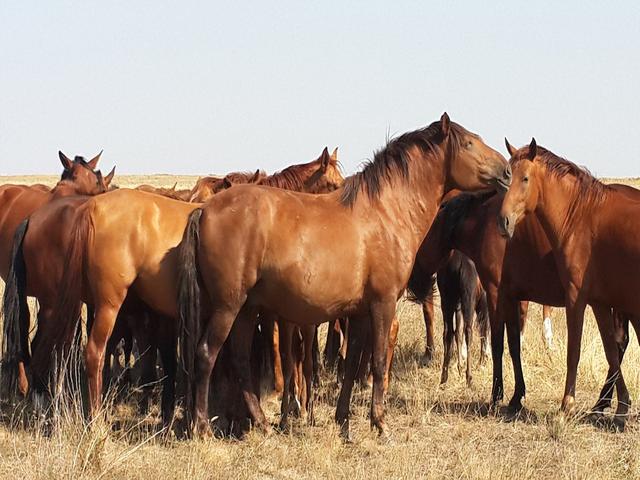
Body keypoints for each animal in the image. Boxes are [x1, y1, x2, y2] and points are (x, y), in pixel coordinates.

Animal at [176, 113, 511, 439]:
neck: (385, 213)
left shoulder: (359, 311)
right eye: (468, 144)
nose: (507, 172)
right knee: (206, 354)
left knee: (241, 361)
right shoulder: (383, 304)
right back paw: (202, 428)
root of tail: (204, 210)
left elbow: (351, 365)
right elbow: (377, 362)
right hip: (228, 307)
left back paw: (263, 424)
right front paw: (380, 424)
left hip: (247, 309)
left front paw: (343, 422)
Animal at [498, 139, 640, 429]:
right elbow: (611, 351)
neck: (580, 218)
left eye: (525, 178)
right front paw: (621, 407)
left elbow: (573, 352)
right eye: (507, 176)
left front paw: (566, 406)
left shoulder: (576, 298)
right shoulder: (599, 303)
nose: (504, 221)